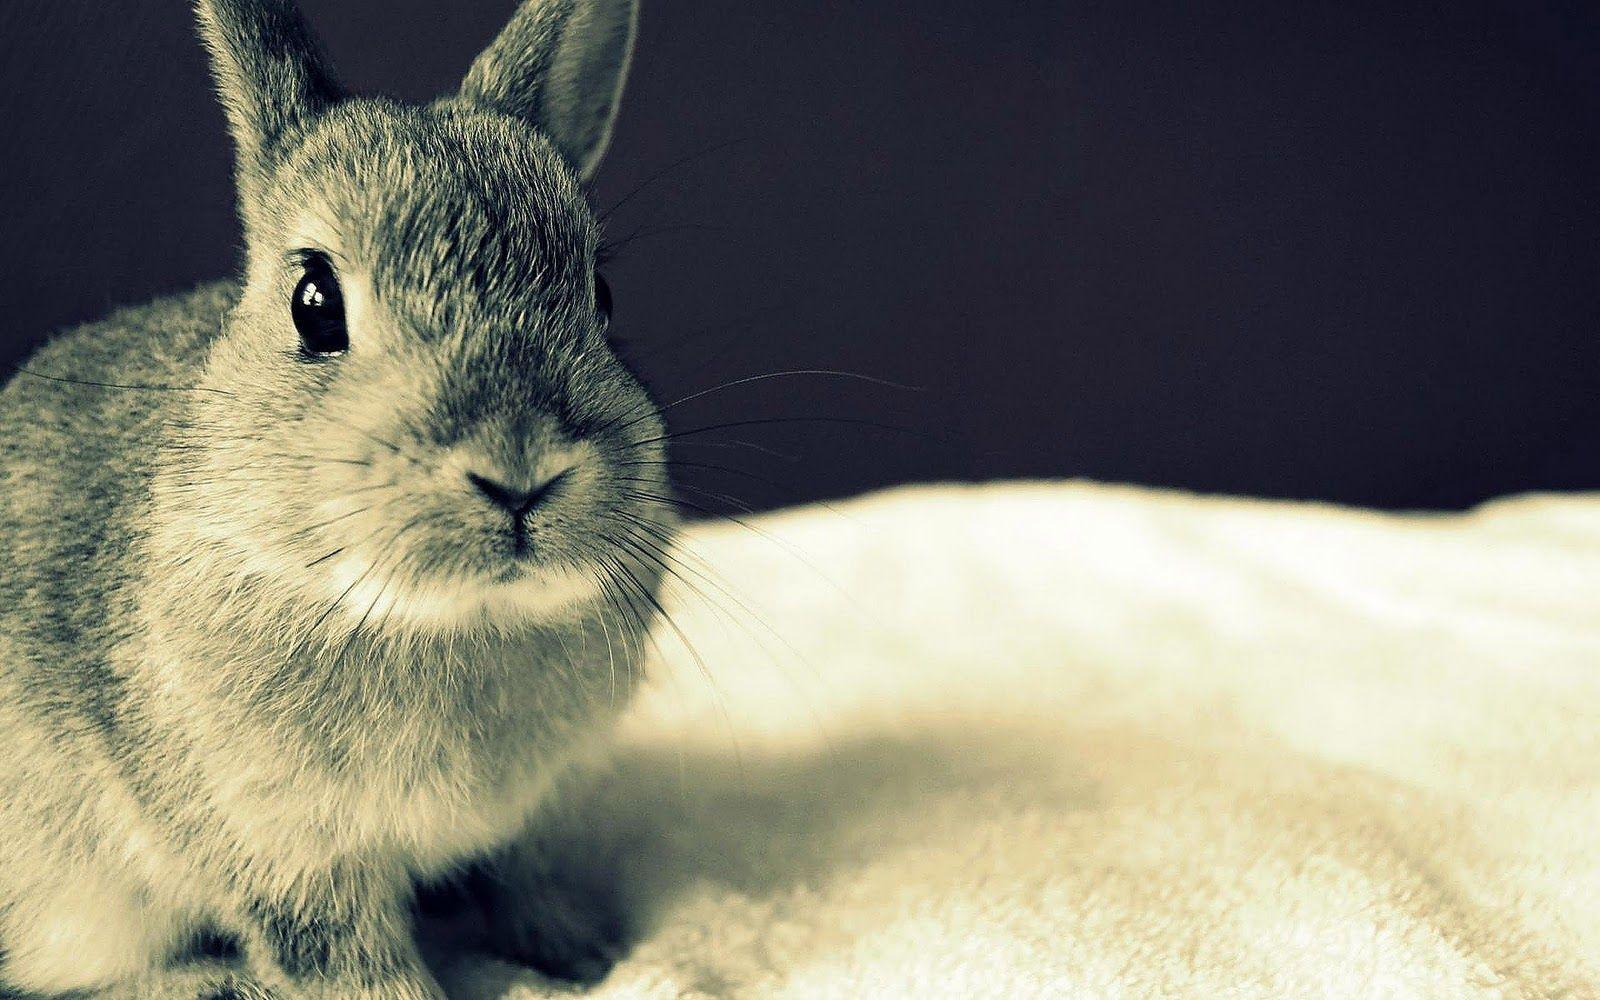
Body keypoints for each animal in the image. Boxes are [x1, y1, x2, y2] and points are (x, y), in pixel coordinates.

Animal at [0, 0, 673, 997]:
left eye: (601, 293)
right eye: (314, 303)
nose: (520, 471)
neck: (449, 618)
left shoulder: (528, 821)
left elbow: (527, 883)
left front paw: (585, 958)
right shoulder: (286, 852)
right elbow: (352, 962)